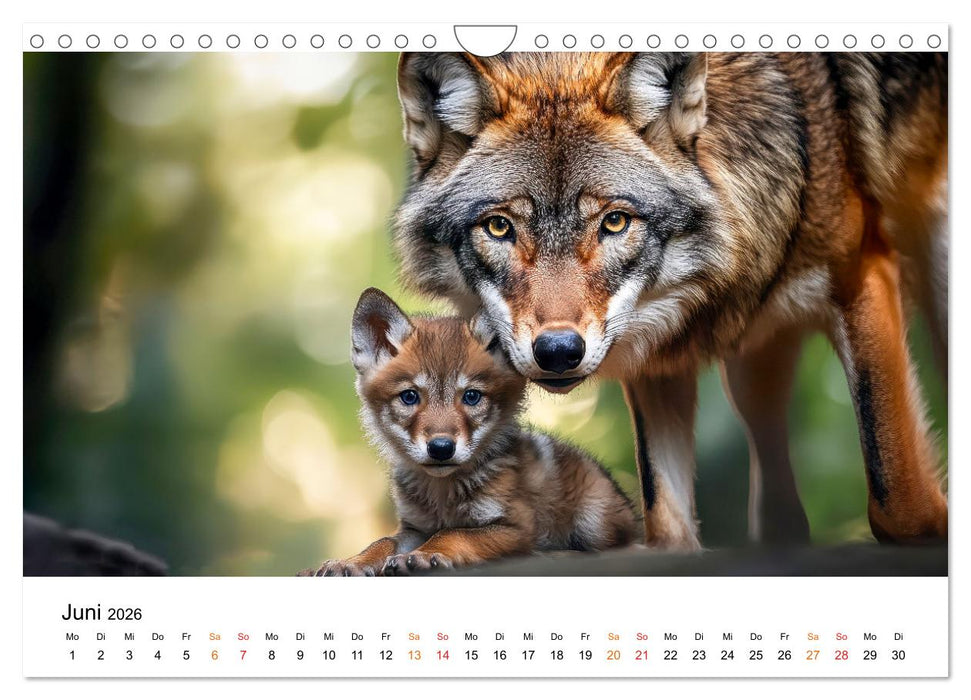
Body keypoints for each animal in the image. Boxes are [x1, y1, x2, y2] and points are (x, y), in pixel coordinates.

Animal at [299, 288, 638, 576]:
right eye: (409, 397)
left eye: (472, 396)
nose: (440, 448)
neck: (442, 494)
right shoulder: (413, 527)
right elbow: (381, 542)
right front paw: (350, 562)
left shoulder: (515, 526)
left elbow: (454, 532)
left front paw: (425, 555)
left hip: (593, 518)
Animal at [392, 52, 948, 549]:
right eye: (499, 227)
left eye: (615, 221)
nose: (558, 352)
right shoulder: (658, 362)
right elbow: (668, 526)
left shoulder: (861, 275)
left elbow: (901, 506)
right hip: (754, 366)